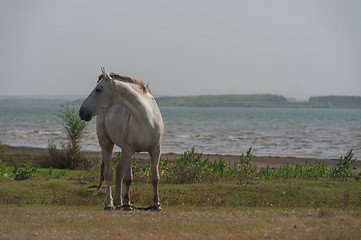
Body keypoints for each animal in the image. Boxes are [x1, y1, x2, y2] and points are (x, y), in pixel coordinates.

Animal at [79, 67, 164, 210]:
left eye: (98, 89)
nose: (82, 112)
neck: (146, 119)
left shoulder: (155, 150)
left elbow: (155, 178)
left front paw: (156, 204)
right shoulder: (129, 149)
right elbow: (128, 178)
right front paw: (127, 204)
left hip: (124, 150)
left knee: (119, 171)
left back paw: (118, 202)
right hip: (107, 145)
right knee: (109, 173)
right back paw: (110, 203)